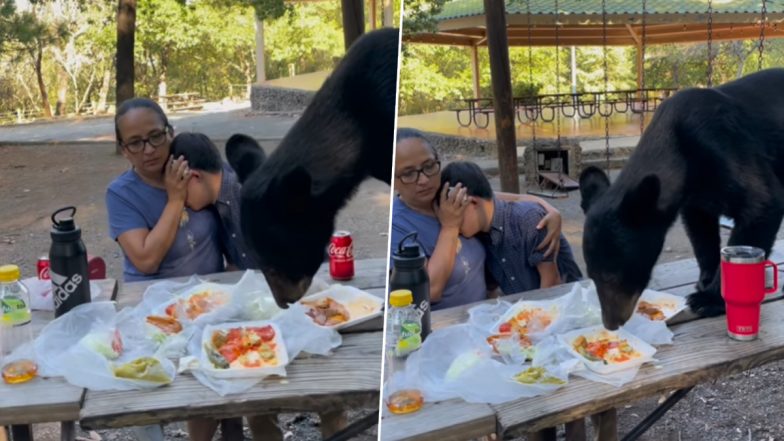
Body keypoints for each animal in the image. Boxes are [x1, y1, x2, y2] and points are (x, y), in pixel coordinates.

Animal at [580, 69, 784, 328]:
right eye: (592, 275)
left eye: (613, 276)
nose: (612, 323)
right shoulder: (697, 199)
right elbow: (701, 231)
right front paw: (706, 278)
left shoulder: (725, 145)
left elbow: (763, 202)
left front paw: (709, 299)